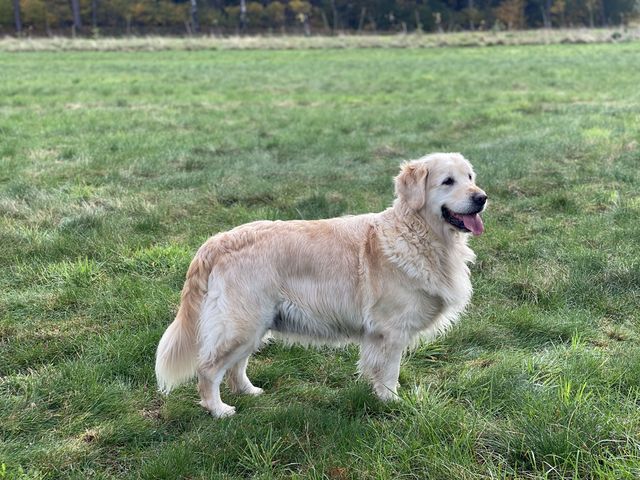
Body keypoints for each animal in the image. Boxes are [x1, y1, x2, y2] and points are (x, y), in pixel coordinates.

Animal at [155, 152, 487, 417]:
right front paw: (392, 402)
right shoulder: (390, 331)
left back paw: (249, 392)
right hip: (242, 324)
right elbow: (389, 373)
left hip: (255, 325)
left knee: (236, 366)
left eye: (470, 177)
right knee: (208, 369)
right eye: (447, 181)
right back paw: (219, 410)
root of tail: (216, 241)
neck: (416, 234)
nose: (482, 197)